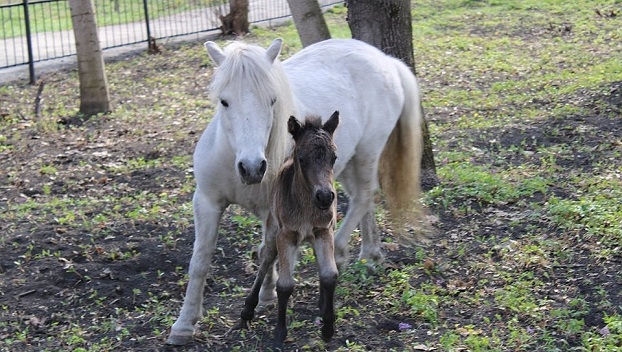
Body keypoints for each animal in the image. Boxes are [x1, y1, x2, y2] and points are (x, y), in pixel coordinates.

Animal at [168, 37, 426, 344]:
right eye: (224, 101)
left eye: (272, 100)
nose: (252, 167)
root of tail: (386, 60)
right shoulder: (208, 202)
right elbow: (204, 260)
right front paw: (185, 323)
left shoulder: (275, 209)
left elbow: (268, 251)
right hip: (346, 164)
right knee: (363, 199)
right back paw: (370, 255)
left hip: (366, 153)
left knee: (363, 197)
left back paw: (341, 253)